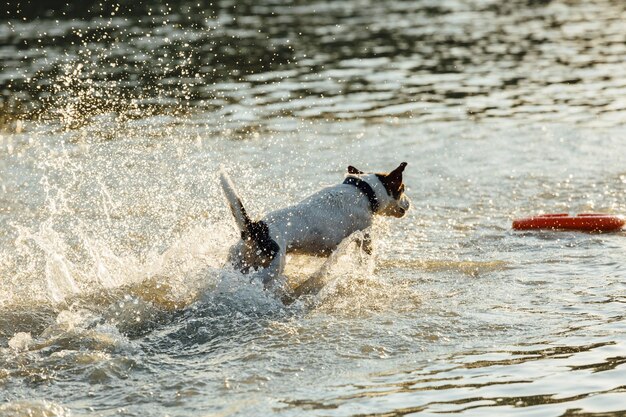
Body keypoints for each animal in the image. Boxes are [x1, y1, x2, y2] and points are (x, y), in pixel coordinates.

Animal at [219, 162, 410, 300]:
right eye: (402, 189)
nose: (409, 203)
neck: (364, 191)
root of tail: (255, 228)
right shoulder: (365, 233)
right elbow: (367, 256)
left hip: (237, 261)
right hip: (271, 268)